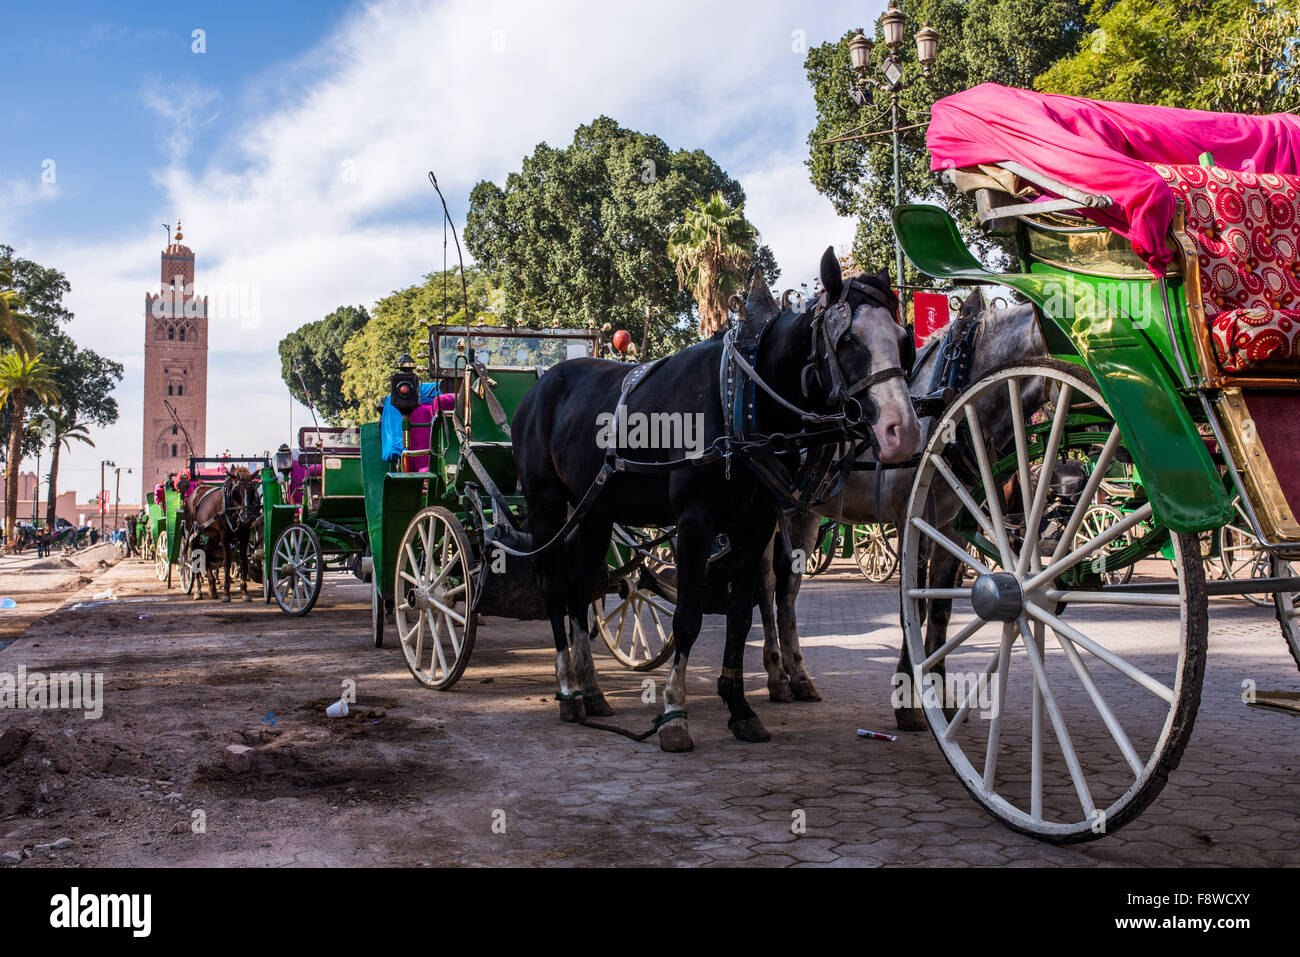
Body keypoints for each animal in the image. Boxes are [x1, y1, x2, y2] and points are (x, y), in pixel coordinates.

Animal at [180, 468, 261, 600]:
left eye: (251, 491)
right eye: (236, 492)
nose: (245, 516)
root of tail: (195, 492)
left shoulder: (245, 534)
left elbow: (243, 561)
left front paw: (244, 592)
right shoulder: (225, 536)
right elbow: (226, 562)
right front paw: (226, 593)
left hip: (214, 536)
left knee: (206, 553)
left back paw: (212, 588)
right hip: (194, 533)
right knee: (195, 558)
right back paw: (198, 590)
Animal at [512, 250, 920, 748]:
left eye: (903, 342)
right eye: (849, 341)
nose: (903, 431)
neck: (743, 403)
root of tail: (543, 382)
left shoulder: (756, 523)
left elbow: (741, 614)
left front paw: (740, 706)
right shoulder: (695, 521)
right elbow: (687, 615)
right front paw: (674, 713)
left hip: (595, 511)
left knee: (578, 589)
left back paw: (591, 691)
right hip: (546, 503)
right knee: (554, 588)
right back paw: (569, 689)